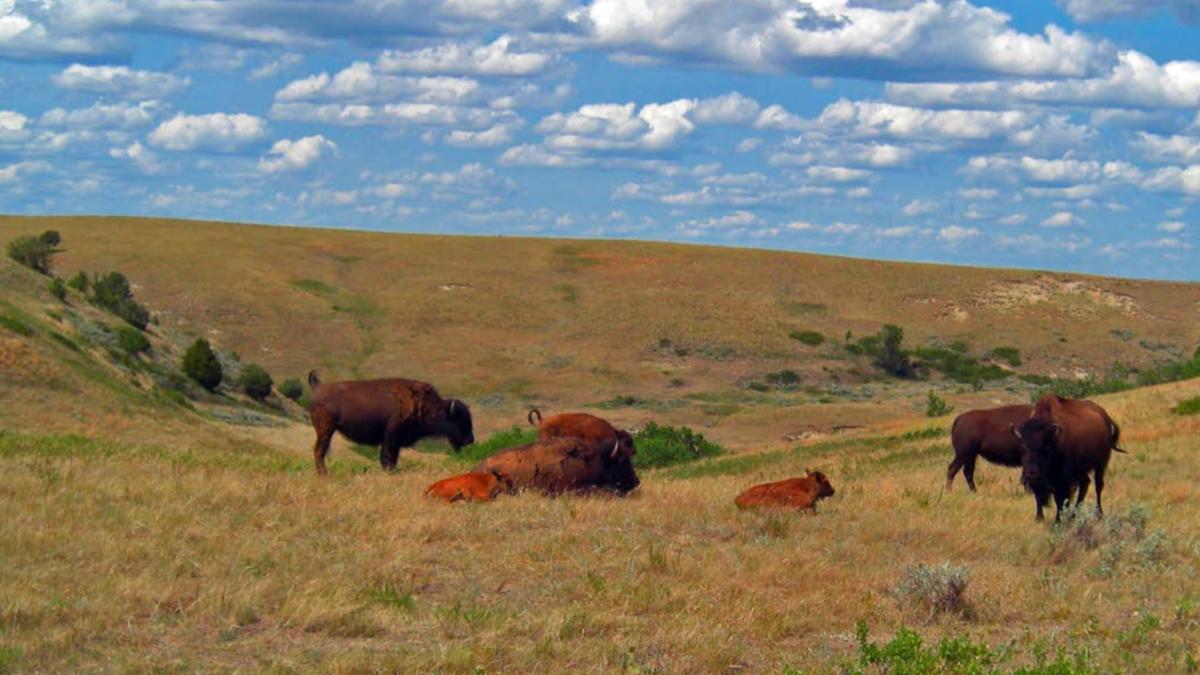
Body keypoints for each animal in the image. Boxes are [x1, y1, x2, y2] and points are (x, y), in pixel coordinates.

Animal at [304, 369, 472, 475]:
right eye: (459, 419)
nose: (470, 439)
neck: (423, 404)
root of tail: (318, 386)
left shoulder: (396, 442)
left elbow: (393, 459)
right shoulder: (390, 438)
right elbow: (387, 458)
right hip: (325, 430)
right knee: (319, 451)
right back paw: (324, 475)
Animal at [1012, 389, 1123, 521]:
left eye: (1045, 449)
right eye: (1023, 448)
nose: (1032, 474)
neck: (1054, 439)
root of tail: (1105, 417)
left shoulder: (1063, 479)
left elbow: (1060, 499)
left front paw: (1058, 520)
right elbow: (1046, 497)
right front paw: (1040, 518)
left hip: (1100, 465)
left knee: (1098, 486)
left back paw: (1098, 513)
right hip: (1082, 470)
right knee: (1085, 484)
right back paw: (1074, 514)